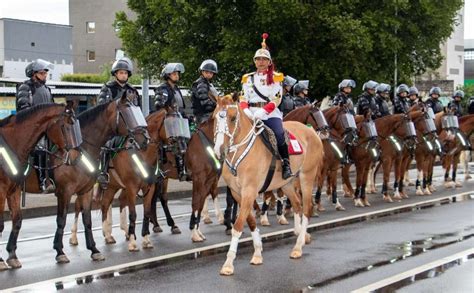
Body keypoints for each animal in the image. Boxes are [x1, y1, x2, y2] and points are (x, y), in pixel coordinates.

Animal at [0, 103, 74, 270]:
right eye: (64, 126)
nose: (73, 156)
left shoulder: (14, 190)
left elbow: (17, 220)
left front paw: (12, 256)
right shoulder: (1, 191)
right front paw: (1, 261)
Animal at [22, 94, 143, 264]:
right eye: (127, 113)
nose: (145, 138)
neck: (79, 148)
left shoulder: (86, 190)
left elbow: (87, 219)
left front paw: (94, 250)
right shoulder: (64, 192)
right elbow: (61, 220)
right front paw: (60, 251)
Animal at [213, 94, 324, 274]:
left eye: (233, 118)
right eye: (214, 117)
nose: (219, 150)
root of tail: (311, 132)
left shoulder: (249, 191)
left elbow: (238, 225)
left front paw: (228, 263)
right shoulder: (238, 193)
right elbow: (250, 221)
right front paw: (258, 253)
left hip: (307, 177)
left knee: (307, 208)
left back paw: (298, 247)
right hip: (287, 184)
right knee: (297, 205)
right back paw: (301, 235)